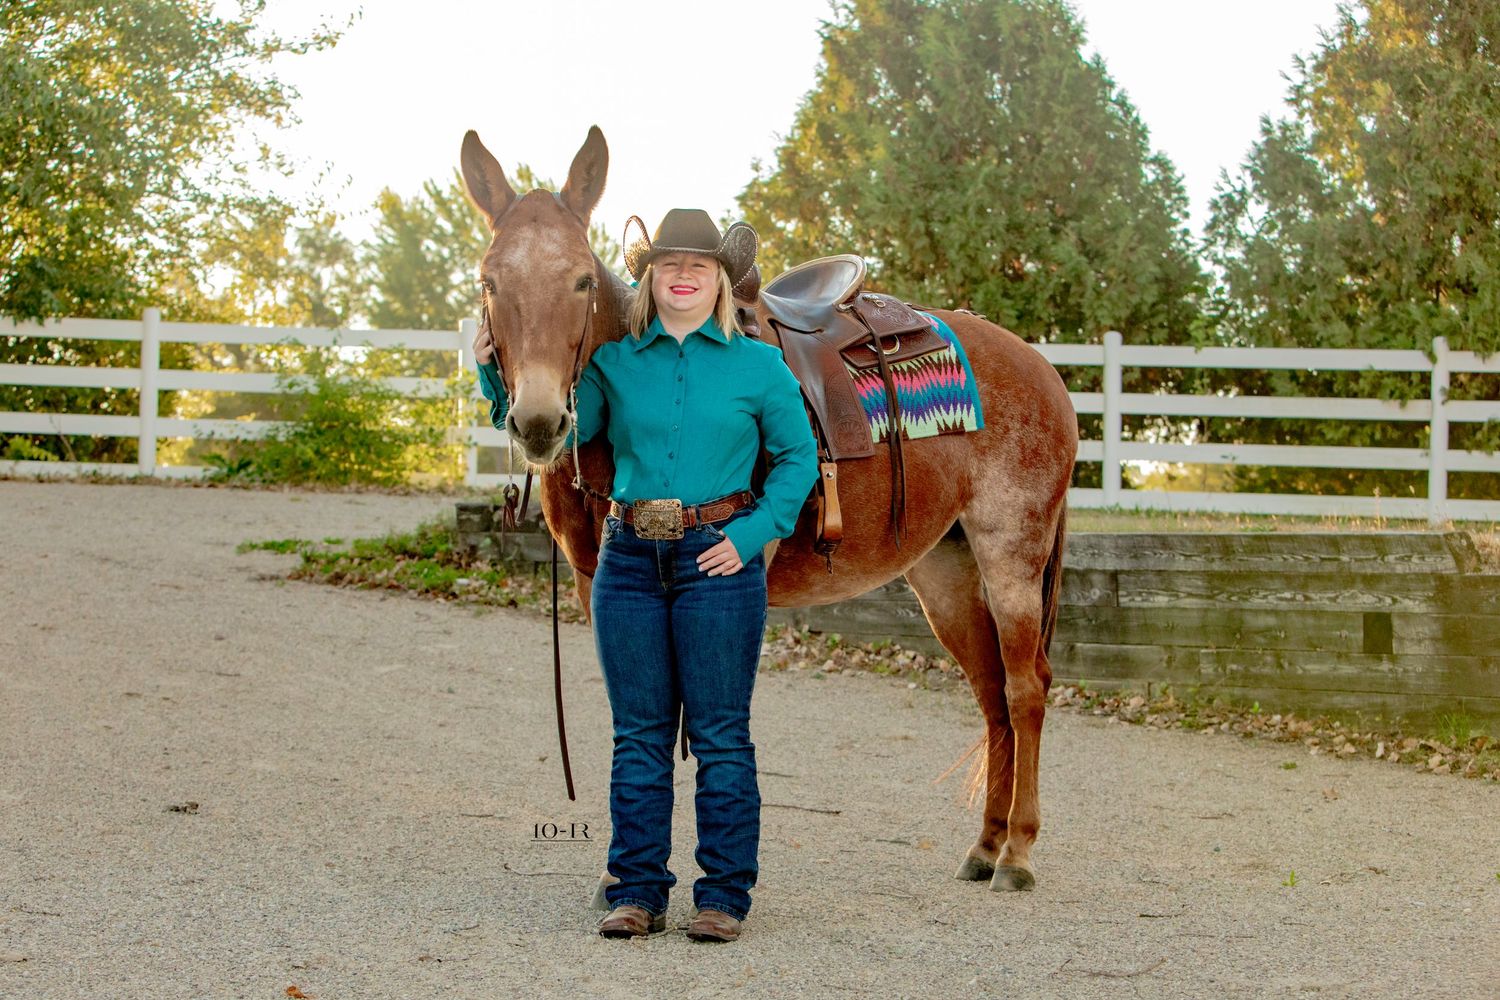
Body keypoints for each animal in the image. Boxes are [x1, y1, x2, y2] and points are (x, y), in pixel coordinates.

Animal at [460, 125, 1078, 894]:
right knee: (991, 691)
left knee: (1026, 689)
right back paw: (986, 845)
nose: (540, 421)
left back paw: (1018, 853)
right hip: (946, 571)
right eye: (489, 281)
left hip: (1010, 555)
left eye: (580, 279)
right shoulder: (594, 587)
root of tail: (1044, 370)